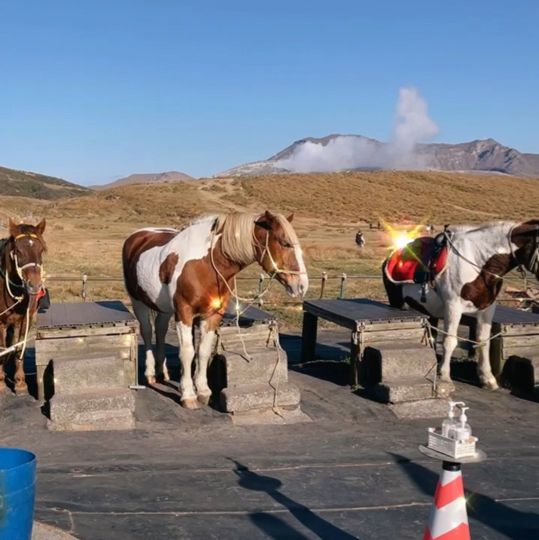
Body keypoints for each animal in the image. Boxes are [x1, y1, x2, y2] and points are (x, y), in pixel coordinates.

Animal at [0, 218, 47, 392]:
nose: (35, 285)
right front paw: (1, 382)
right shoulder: (0, 322)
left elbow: (19, 348)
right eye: (18, 251)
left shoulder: (24, 320)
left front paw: (20, 382)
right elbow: (2, 348)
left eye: (41, 250)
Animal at [122, 211, 308, 410]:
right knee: (148, 332)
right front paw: (188, 395)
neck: (206, 265)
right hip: (138, 301)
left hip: (164, 308)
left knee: (161, 330)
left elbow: (203, 351)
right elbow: (187, 352)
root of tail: (137, 236)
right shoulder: (184, 312)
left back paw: (162, 372)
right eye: (284, 243)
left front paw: (203, 391)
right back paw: (150, 374)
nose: (302, 285)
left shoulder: (212, 315)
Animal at [384, 221, 539, 390]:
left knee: (433, 336)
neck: (478, 261)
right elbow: (450, 341)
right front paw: (445, 376)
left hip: (430, 311)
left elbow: (483, 342)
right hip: (397, 302)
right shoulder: (453, 307)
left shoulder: (486, 309)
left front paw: (487, 378)